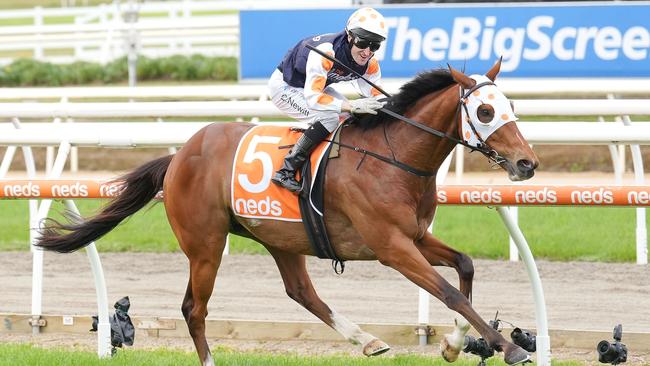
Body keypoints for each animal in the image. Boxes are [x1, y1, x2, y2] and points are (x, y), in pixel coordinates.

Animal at [35, 60, 536, 366]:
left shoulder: (413, 237)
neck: (392, 157)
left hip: (282, 238)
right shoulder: (391, 247)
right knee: (194, 308)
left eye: (511, 105)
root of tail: (178, 157)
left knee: (301, 292)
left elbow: (465, 269)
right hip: (205, 244)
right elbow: (449, 293)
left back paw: (368, 341)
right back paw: (211, 359)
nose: (527, 163)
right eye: (485, 111)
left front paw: (455, 344)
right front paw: (508, 347)